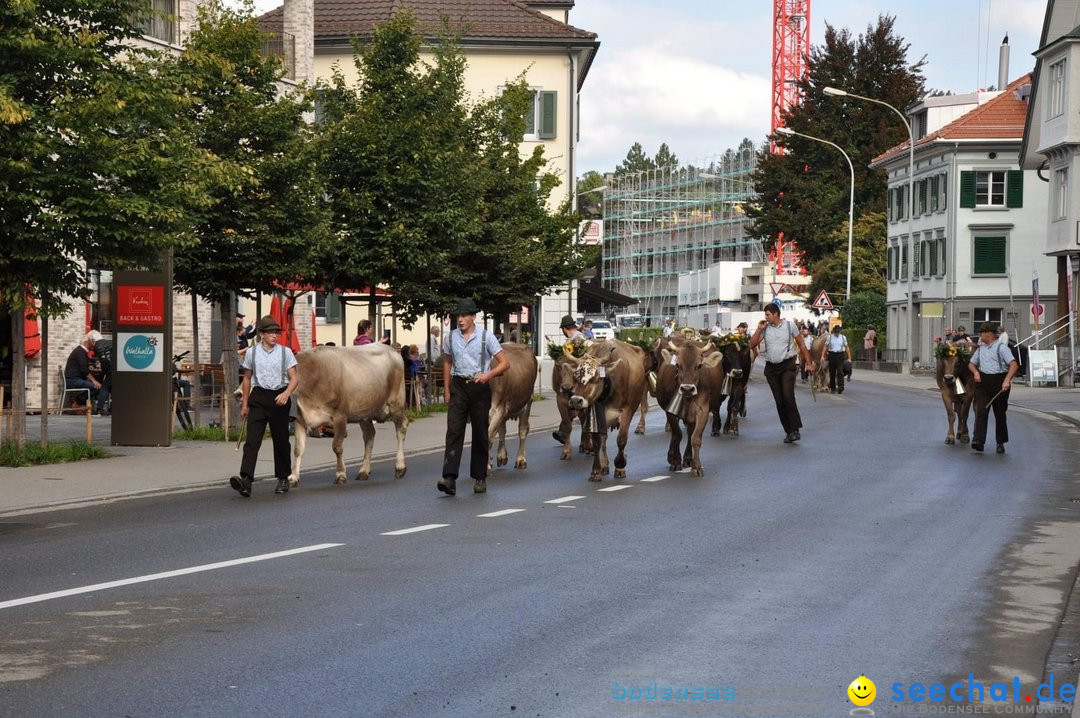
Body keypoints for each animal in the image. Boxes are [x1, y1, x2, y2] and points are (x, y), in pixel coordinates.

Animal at [287, 345, 408, 488]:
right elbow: (298, 449)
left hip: (396, 403)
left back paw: (400, 467)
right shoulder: (300, 419)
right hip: (364, 412)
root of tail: (391, 349)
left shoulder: (340, 416)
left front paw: (340, 475)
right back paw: (364, 471)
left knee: (401, 429)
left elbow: (337, 447)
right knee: (369, 435)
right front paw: (293, 477)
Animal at [565, 339, 648, 479]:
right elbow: (597, 441)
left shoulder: (628, 410)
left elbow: (621, 439)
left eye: (595, 378)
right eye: (575, 377)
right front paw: (597, 470)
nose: (576, 401)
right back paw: (604, 465)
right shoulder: (593, 411)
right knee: (603, 439)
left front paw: (620, 465)